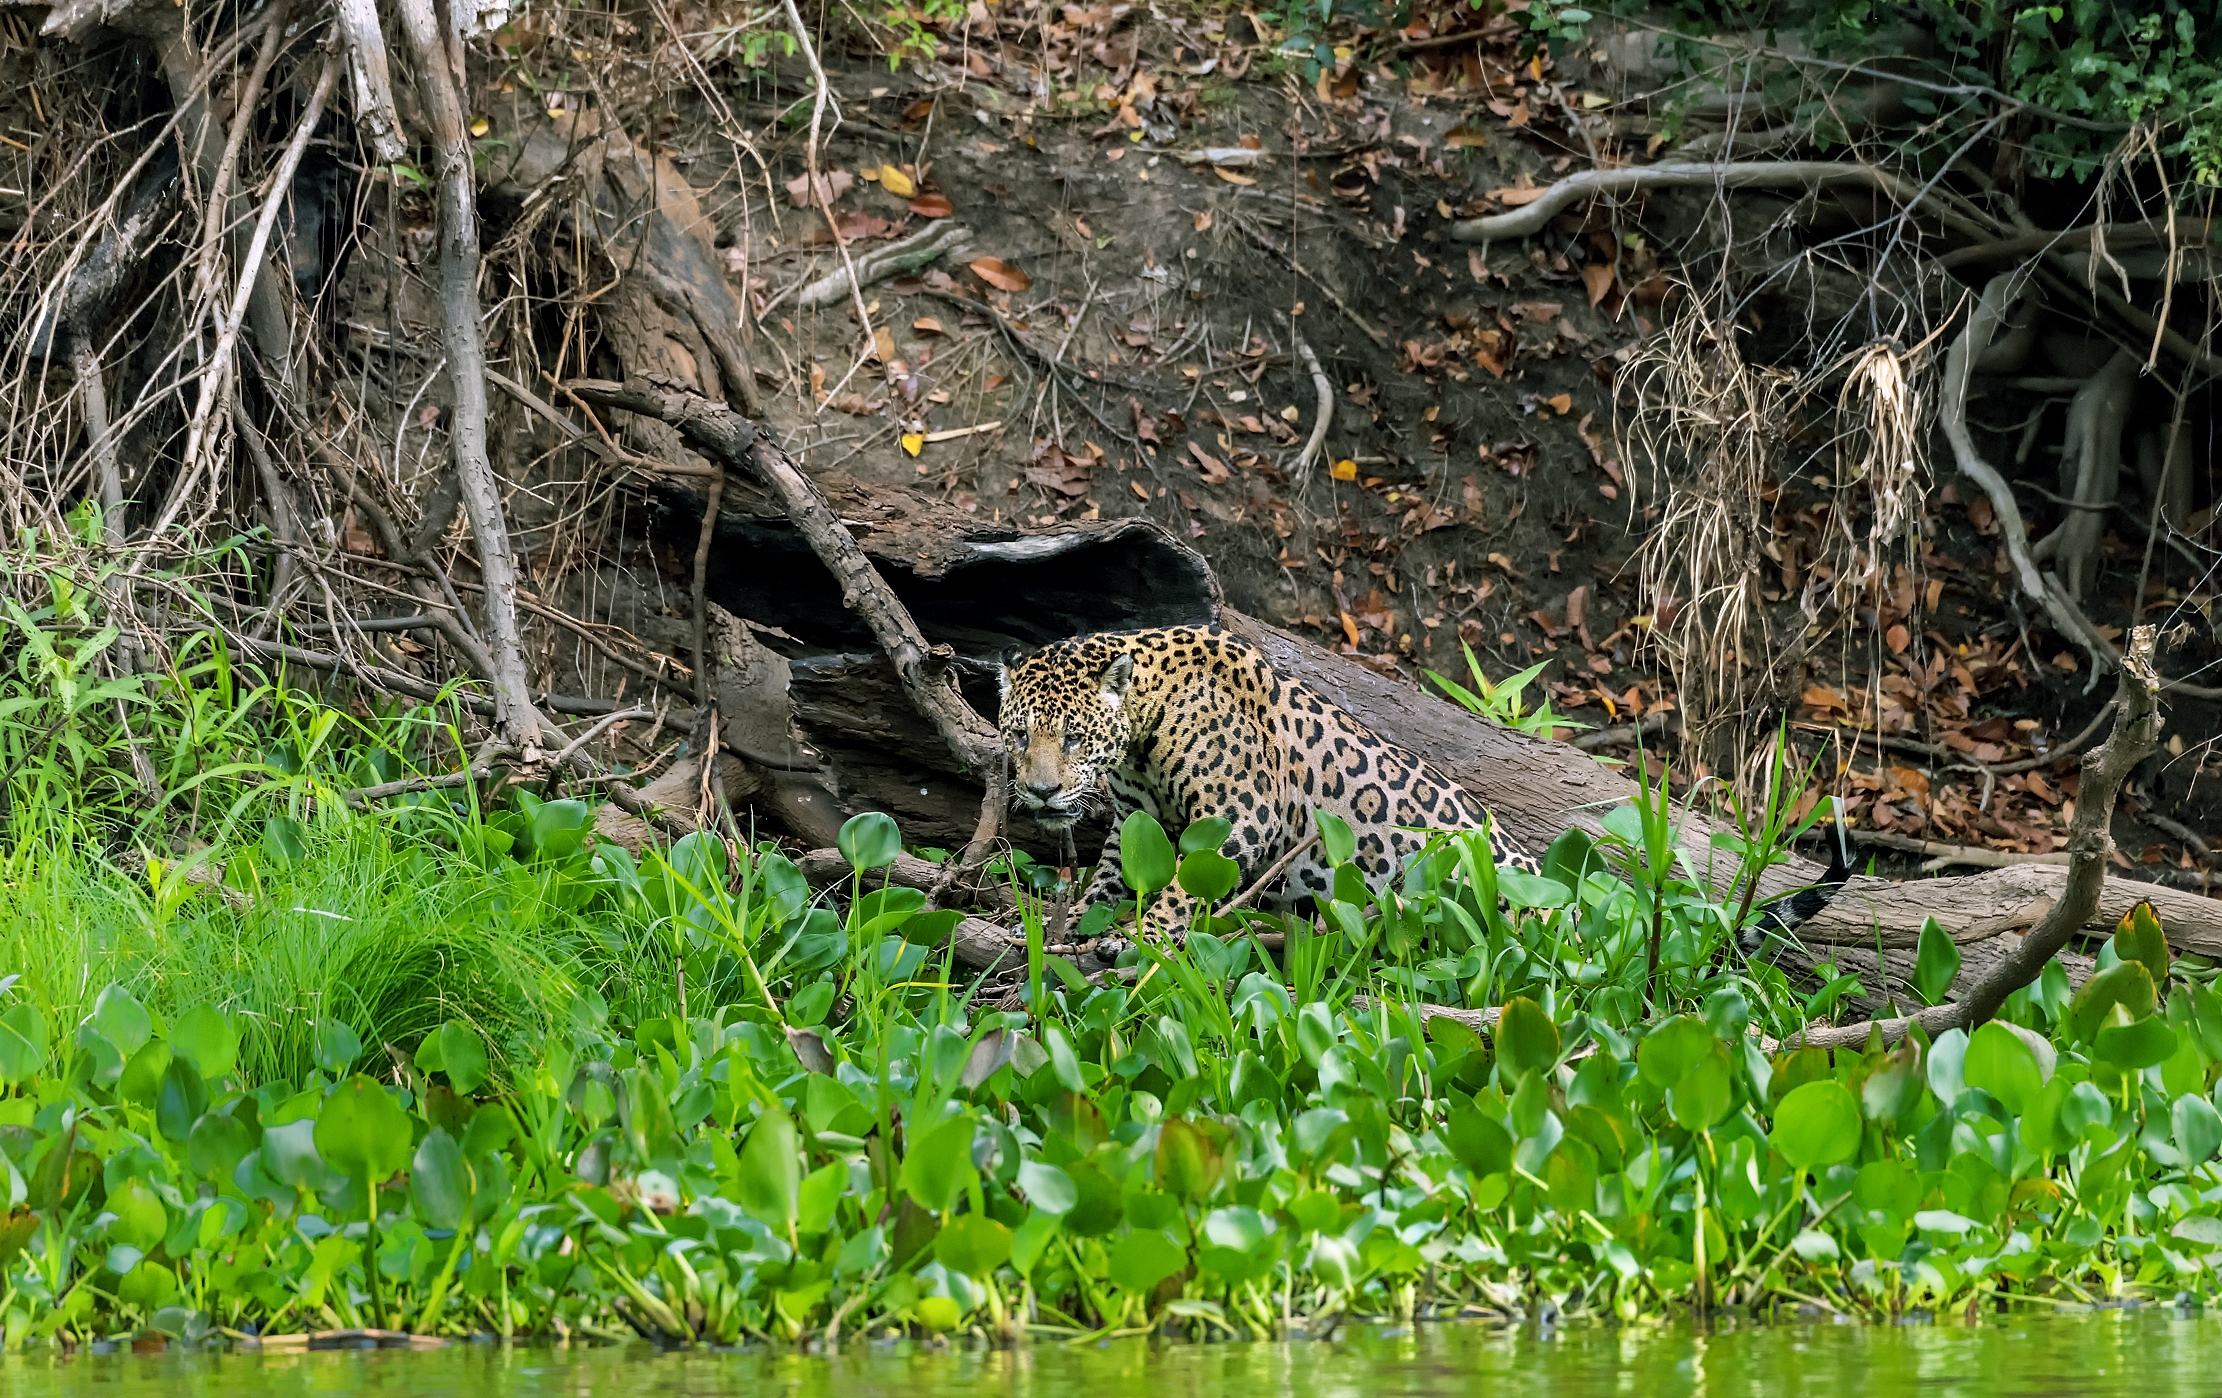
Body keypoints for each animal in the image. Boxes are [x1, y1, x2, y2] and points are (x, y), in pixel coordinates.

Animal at [996, 624, 1545, 937]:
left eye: (1073, 739)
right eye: (1020, 736)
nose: (1041, 792)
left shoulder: (1240, 815)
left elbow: (1182, 885)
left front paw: (1146, 937)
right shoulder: (1136, 822)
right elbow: (1115, 875)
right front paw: (1074, 923)